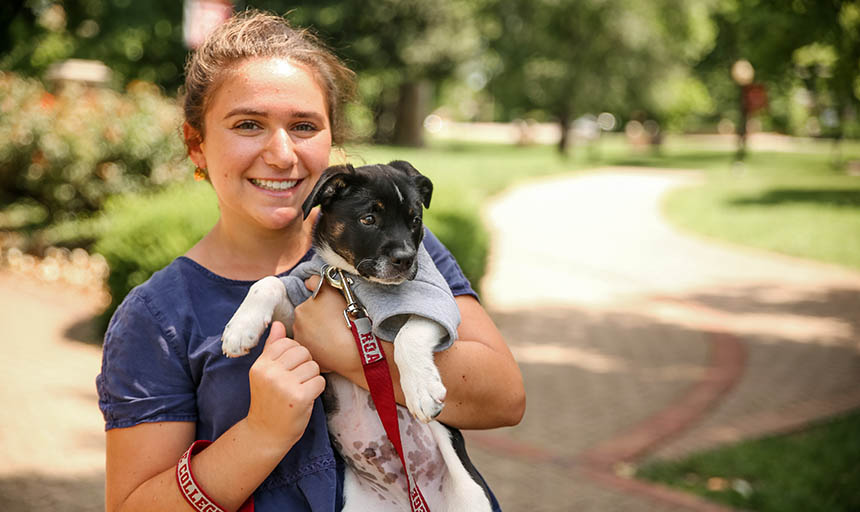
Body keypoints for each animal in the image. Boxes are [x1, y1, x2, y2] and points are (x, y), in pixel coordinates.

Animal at [220, 161, 490, 512]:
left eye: (415, 221)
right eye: (368, 219)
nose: (406, 260)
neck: (347, 278)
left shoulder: (435, 303)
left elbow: (408, 336)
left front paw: (421, 391)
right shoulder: (300, 313)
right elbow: (268, 282)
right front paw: (240, 329)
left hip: (470, 498)